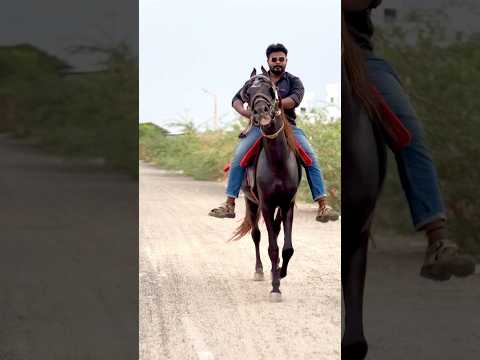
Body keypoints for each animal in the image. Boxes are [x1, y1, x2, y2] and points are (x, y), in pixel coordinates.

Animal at [232, 67, 300, 300]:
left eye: (270, 88)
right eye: (247, 93)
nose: (261, 111)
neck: (277, 162)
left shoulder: (287, 204)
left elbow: (287, 248)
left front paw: (280, 272)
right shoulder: (267, 205)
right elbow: (272, 247)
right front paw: (275, 287)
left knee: (277, 233)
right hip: (251, 202)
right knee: (256, 235)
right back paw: (261, 270)